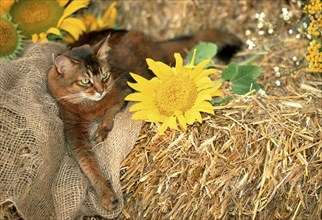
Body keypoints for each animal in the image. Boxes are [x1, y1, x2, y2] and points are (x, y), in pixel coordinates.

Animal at [47, 28, 242, 210]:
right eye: (85, 81)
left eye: (104, 76)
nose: (101, 90)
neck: (90, 107)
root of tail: (153, 41)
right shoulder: (72, 130)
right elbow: (87, 164)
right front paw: (105, 194)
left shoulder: (123, 92)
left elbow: (110, 112)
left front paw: (102, 129)